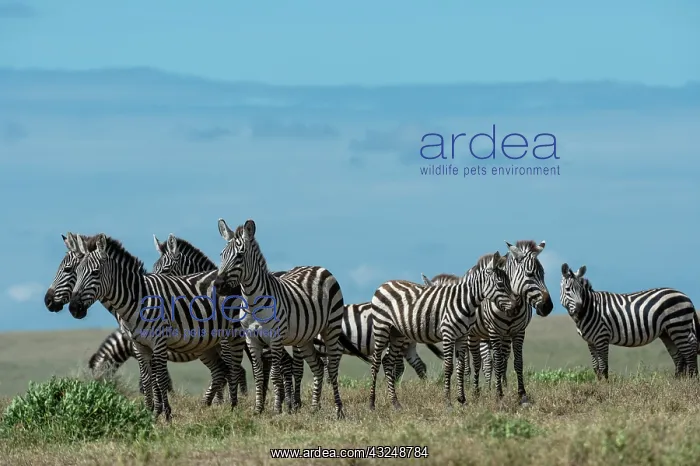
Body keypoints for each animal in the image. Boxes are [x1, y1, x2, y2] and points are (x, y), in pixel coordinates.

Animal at [68, 233, 248, 421]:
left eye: (95, 273)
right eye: (76, 272)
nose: (73, 308)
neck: (138, 300)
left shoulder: (159, 343)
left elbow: (160, 379)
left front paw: (166, 414)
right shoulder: (140, 346)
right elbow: (147, 379)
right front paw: (149, 412)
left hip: (231, 334)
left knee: (235, 369)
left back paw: (233, 407)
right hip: (207, 344)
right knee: (221, 371)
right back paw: (208, 405)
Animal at [214, 218, 368, 419]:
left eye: (239, 256)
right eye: (222, 255)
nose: (218, 285)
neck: (253, 303)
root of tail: (319, 267)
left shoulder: (275, 339)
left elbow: (274, 375)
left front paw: (276, 409)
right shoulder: (251, 340)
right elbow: (258, 374)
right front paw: (258, 409)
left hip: (331, 329)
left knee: (332, 369)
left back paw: (338, 410)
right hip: (305, 338)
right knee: (318, 366)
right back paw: (314, 408)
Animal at [368, 251, 518, 410]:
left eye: (509, 283)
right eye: (500, 284)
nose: (516, 308)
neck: (465, 302)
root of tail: (384, 284)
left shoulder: (462, 336)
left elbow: (461, 367)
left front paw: (462, 399)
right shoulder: (448, 335)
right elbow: (448, 367)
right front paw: (448, 402)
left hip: (397, 334)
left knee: (388, 361)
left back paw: (395, 403)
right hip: (381, 328)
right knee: (375, 363)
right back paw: (371, 403)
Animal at [463, 241, 553, 405]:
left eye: (543, 274)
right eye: (529, 274)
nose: (548, 306)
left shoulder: (519, 332)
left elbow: (517, 362)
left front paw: (521, 394)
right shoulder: (494, 332)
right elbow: (497, 362)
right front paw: (498, 394)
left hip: (502, 337)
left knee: (499, 361)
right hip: (473, 335)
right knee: (478, 362)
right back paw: (476, 392)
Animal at [561, 263, 700, 379]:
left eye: (581, 290)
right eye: (567, 289)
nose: (580, 310)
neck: (591, 308)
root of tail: (686, 296)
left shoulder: (602, 338)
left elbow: (603, 367)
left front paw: (605, 387)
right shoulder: (591, 342)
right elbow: (596, 368)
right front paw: (598, 384)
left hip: (678, 327)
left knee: (689, 354)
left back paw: (690, 382)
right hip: (667, 333)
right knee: (679, 358)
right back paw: (677, 382)